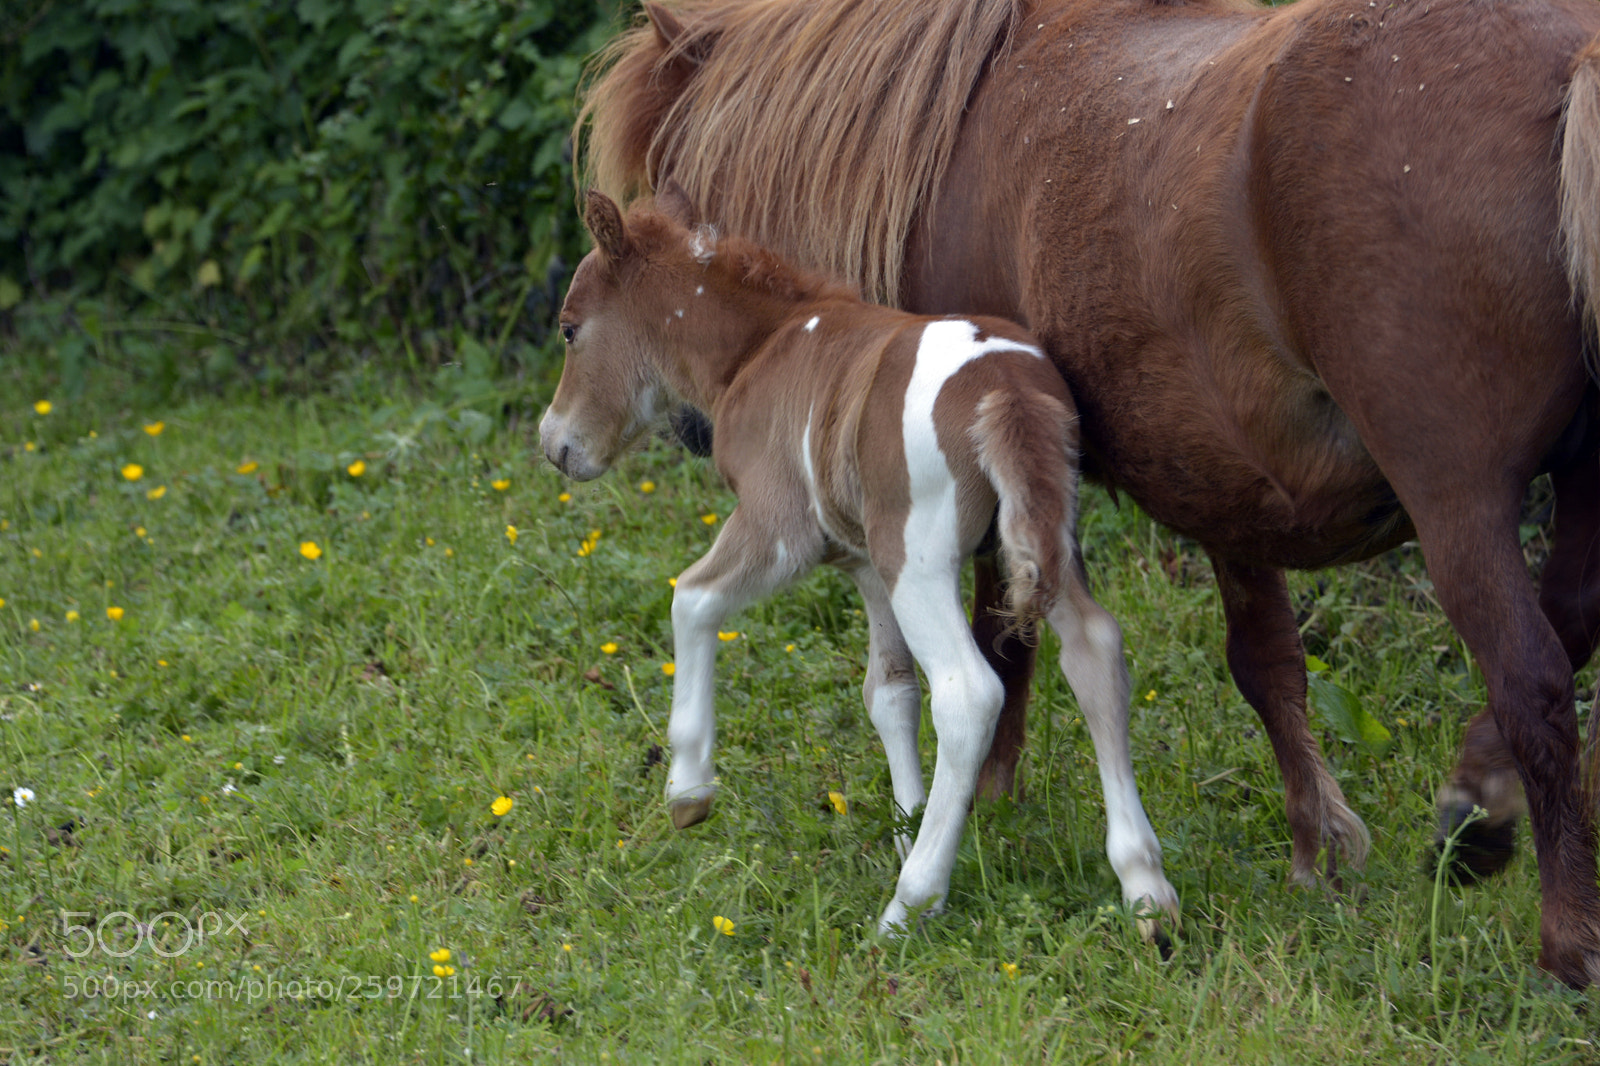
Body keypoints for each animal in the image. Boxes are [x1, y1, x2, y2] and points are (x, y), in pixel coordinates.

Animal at [539, 186, 1182, 935]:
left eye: (569, 329)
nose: (554, 443)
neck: (761, 349)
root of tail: (1008, 391)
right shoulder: (865, 563)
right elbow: (889, 689)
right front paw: (909, 825)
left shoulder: (781, 529)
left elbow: (691, 597)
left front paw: (688, 790)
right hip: (1044, 539)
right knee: (1094, 651)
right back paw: (1145, 887)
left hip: (920, 560)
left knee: (968, 692)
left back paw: (911, 903)